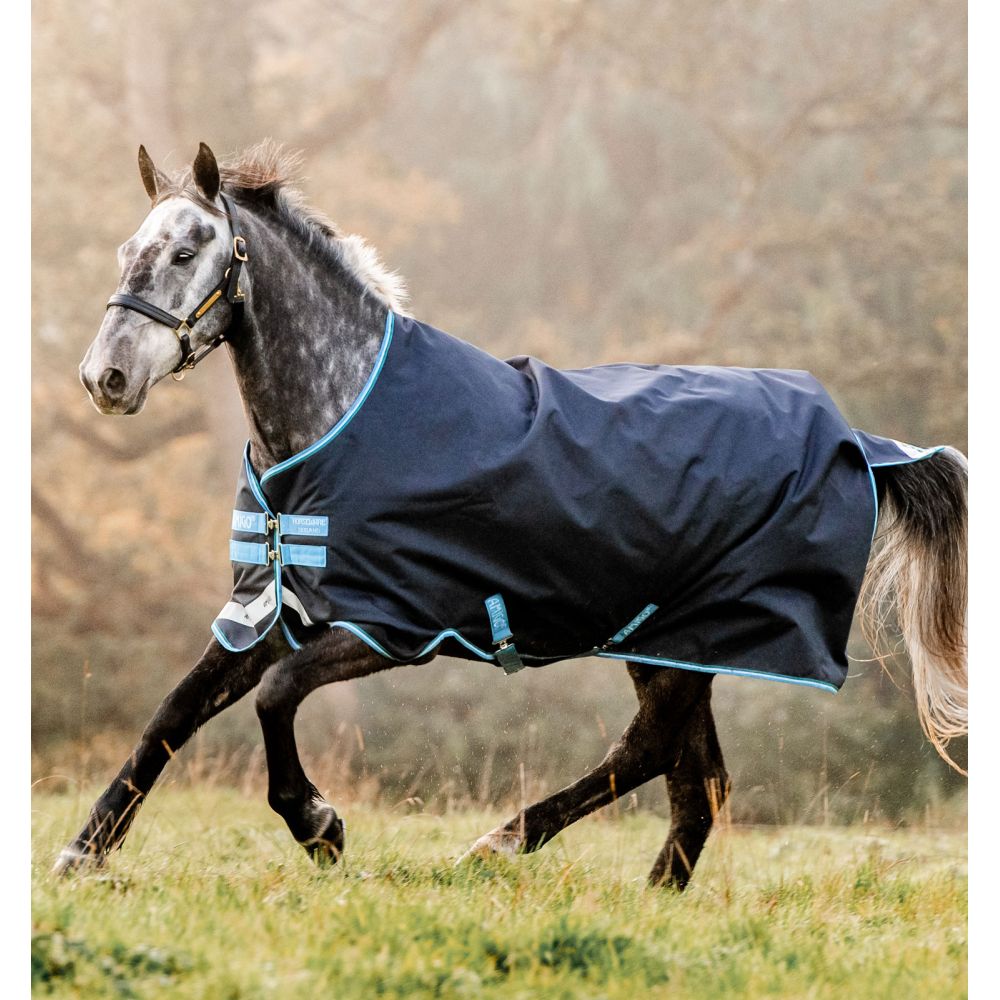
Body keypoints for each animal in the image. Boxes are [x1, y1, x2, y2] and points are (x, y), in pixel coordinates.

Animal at [57, 141, 968, 888]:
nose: (106, 378)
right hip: (673, 643)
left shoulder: (391, 628)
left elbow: (275, 699)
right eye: (129, 249)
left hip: (687, 642)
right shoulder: (272, 611)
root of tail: (855, 440)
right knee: (693, 781)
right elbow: (172, 715)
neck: (340, 419)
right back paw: (643, 897)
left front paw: (320, 827)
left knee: (654, 755)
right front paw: (83, 852)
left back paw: (495, 846)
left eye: (186, 251)